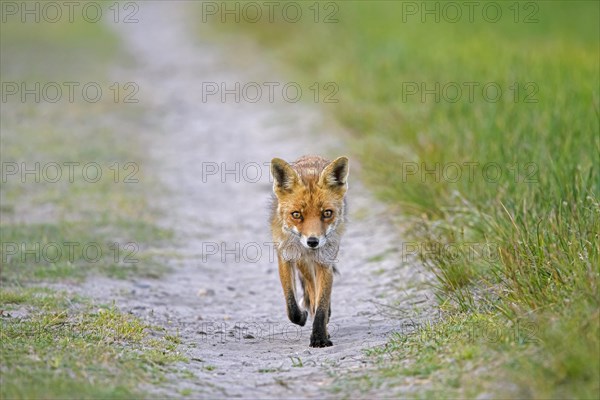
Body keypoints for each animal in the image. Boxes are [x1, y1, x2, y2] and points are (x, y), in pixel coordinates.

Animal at [270, 154, 350, 346]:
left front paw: (320, 337)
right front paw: (302, 317)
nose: (313, 241)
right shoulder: (285, 257)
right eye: (296, 214)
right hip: (301, 262)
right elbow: (291, 305)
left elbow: (321, 305)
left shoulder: (324, 262)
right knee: (309, 288)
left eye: (327, 213)